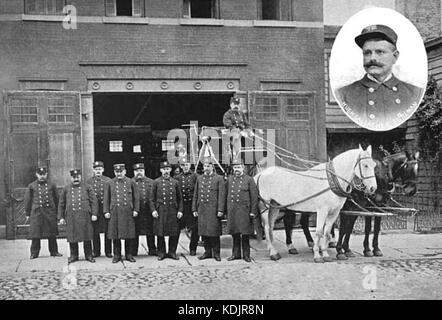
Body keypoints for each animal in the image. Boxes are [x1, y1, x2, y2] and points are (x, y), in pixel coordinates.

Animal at [282, 151, 420, 258]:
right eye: (409, 168)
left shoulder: (375, 207)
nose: (412, 191)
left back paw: (312, 243)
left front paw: (372, 249)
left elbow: (370, 228)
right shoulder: (353, 207)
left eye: (418, 169)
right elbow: (346, 228)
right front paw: (342, 250)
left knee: (304, 221)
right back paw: (292, 245)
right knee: (289, 220)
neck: (380, 176)